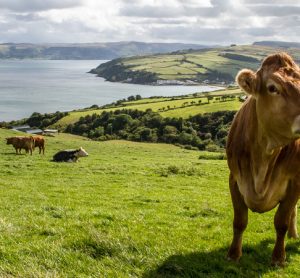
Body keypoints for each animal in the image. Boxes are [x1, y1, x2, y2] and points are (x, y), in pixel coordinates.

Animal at [226, 52, 300, 268]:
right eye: (273, 87)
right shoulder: (234, 179)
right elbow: (239, 221)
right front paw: (233, 255)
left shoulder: (294, 182)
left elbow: (281, 221)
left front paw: (278, 258)